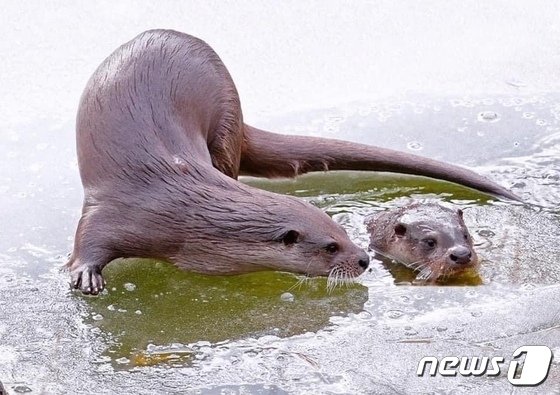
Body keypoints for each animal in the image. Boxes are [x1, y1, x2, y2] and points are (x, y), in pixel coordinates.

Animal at [68, 30, 520, 294]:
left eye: (343, 231)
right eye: (330, 245)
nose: (363, 258)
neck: (176, 206)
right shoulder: (117, 208)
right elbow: (88, 239)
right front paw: (85, 273)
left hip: (226, 121)